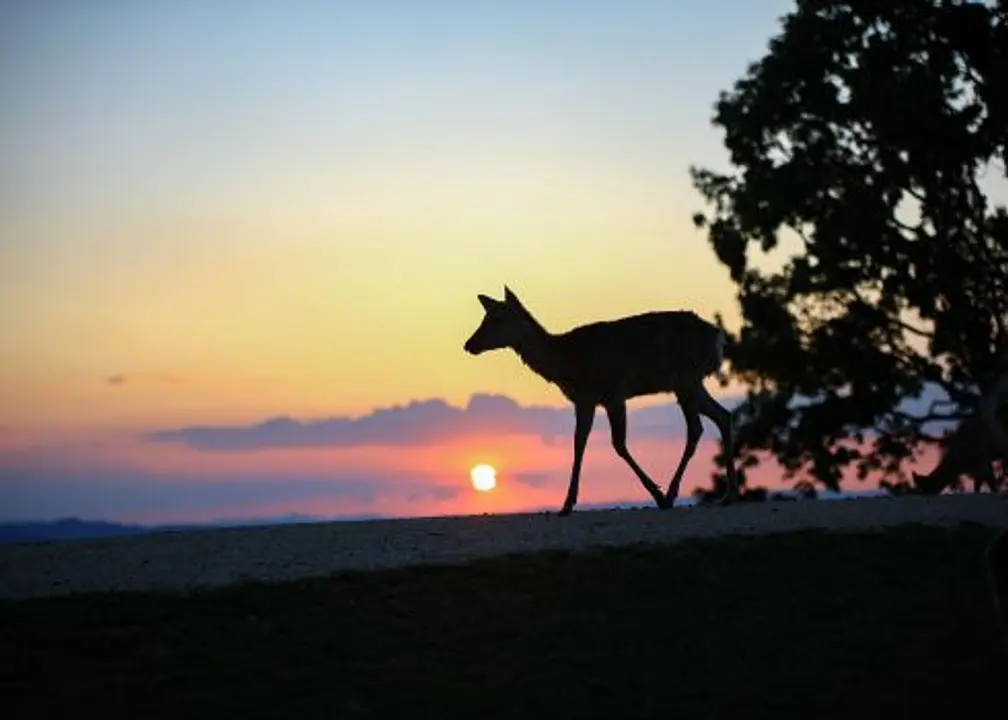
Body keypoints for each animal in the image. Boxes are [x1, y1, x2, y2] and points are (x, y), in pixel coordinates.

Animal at [461, 282, 737, 512]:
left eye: (498, 318)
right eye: (485, 316)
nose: (469, 344)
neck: (566, 364)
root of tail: (718, 337)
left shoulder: (613, 392)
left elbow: (619, 444)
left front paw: (656, 494)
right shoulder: (584, 401)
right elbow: (579, 443)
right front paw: (566, 504)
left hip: (685, 379)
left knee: (696, 428)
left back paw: (671, 495)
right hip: (690, 384)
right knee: (723, 416)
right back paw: (727, 495)